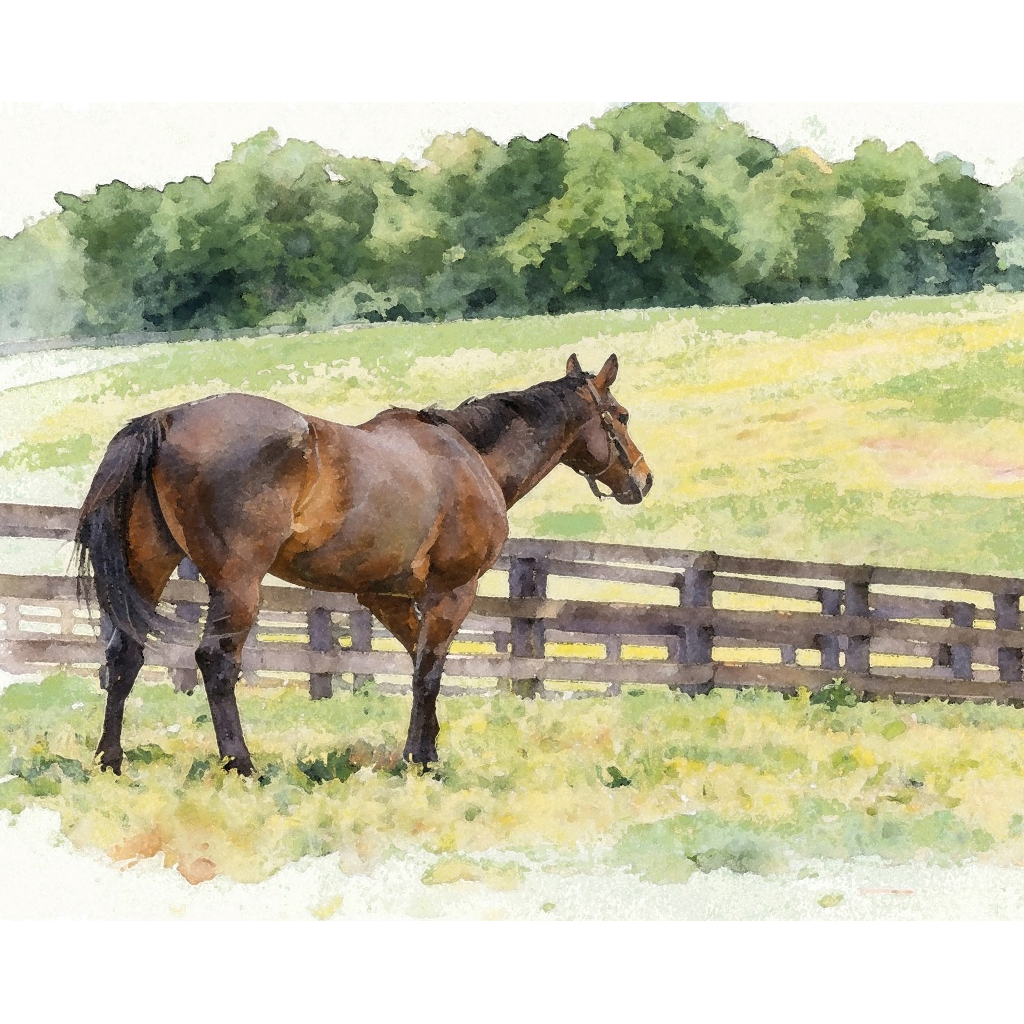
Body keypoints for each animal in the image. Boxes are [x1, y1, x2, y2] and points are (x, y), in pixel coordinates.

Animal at [74, 353, 653, 775]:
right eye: (622, 416)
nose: (643, 480)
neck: (468, 458)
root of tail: (167, 418)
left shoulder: (386, 597)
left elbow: (422, 665)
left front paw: (426, 747)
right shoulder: (451, 590)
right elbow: (428, 672)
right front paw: (421, 760)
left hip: (149, 567)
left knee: (124, 654)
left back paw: (110, 760)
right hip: (237, 584)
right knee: (216, 661)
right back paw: (241, 765)